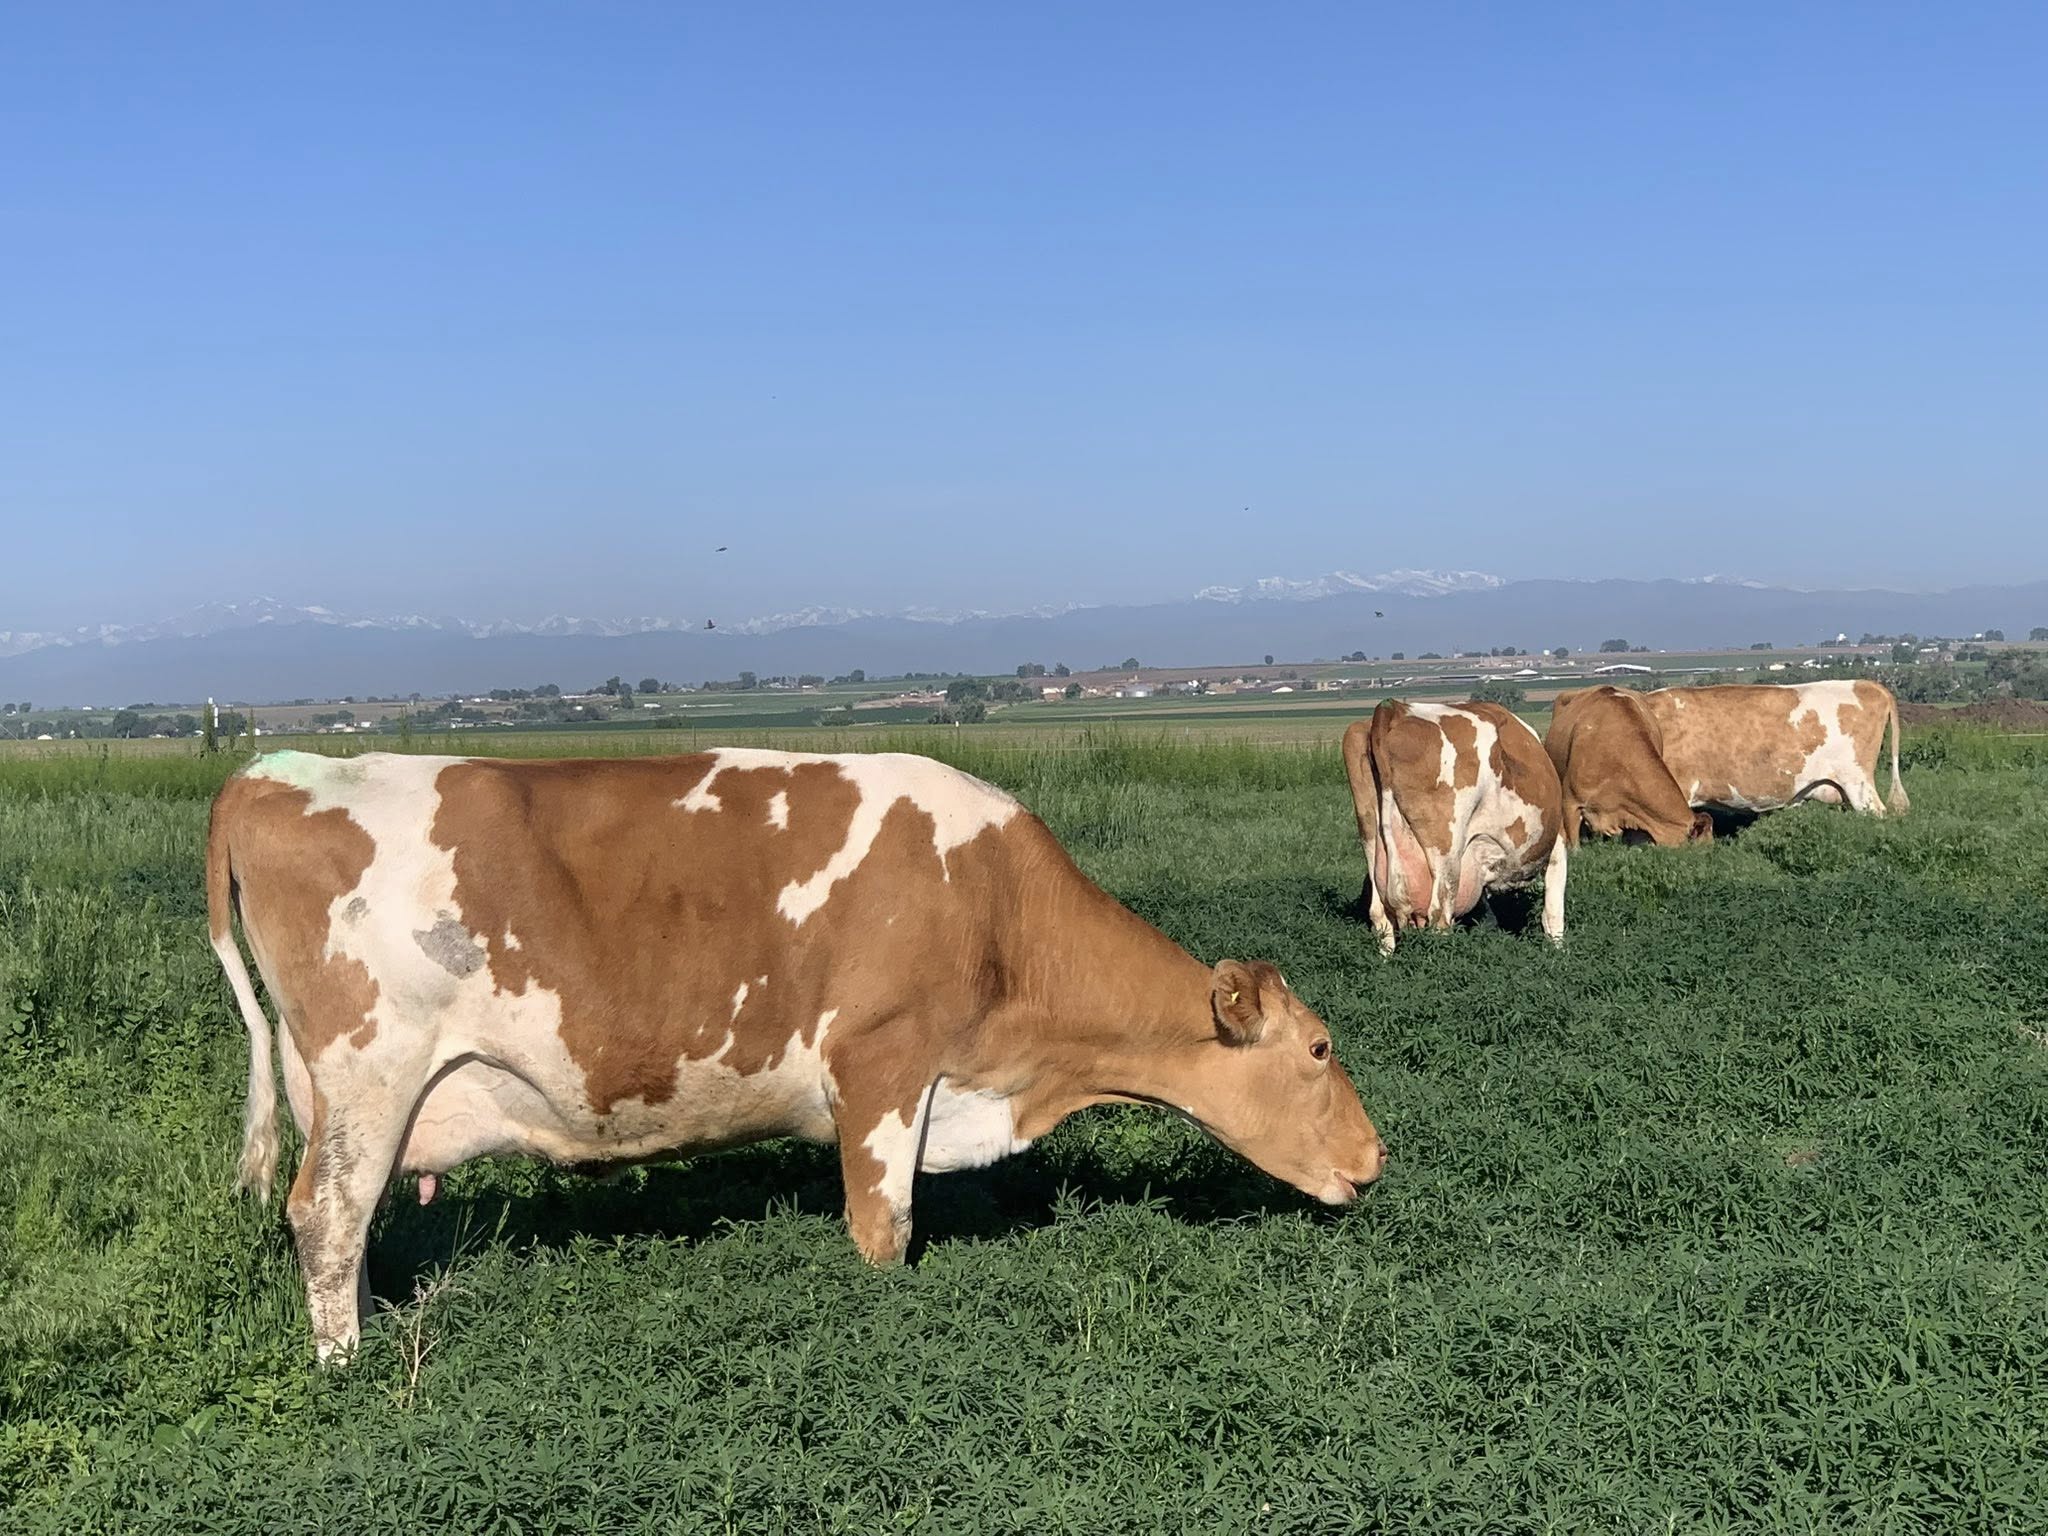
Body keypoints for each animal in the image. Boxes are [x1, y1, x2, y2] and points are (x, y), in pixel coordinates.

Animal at [208, 748, 1387, 1362]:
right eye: (1320, 1046)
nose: (1375, 1160)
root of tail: (272, 770)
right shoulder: (882, 1071)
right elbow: (884, 1231)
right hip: (370, 1071)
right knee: (325, 1217)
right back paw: (347, 1367)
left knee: (352, 1224)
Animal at [1340, 699, 1566, 954]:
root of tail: (1395, 709)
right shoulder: (1558, 840)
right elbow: (1554, 910)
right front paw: (1558, 953)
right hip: (1447, 854)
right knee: (1439, 917)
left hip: (1371, 835)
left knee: (1380, 915)